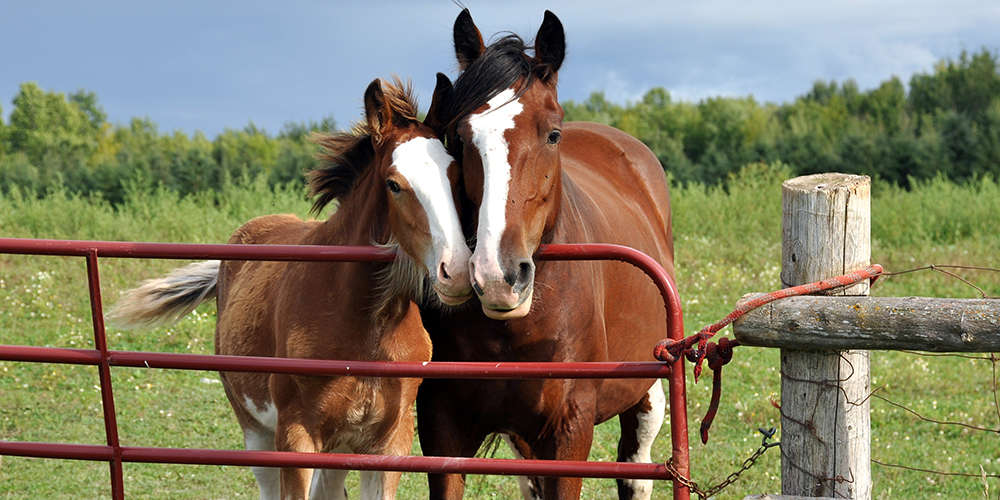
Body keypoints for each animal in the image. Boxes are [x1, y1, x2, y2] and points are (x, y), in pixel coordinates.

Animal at [110, 78, 472, 500]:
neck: (365, 324)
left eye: (456, 176)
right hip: (255, 428)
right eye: (394, 185)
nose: (457, 271)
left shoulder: (390, 442)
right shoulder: (296, 437)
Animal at [416, 8, 680, 500]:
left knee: (636, 469)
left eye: (553, 134)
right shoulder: (442, 430)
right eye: (457, 139)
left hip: (644, 393)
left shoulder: (568, 433)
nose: (498, 275)